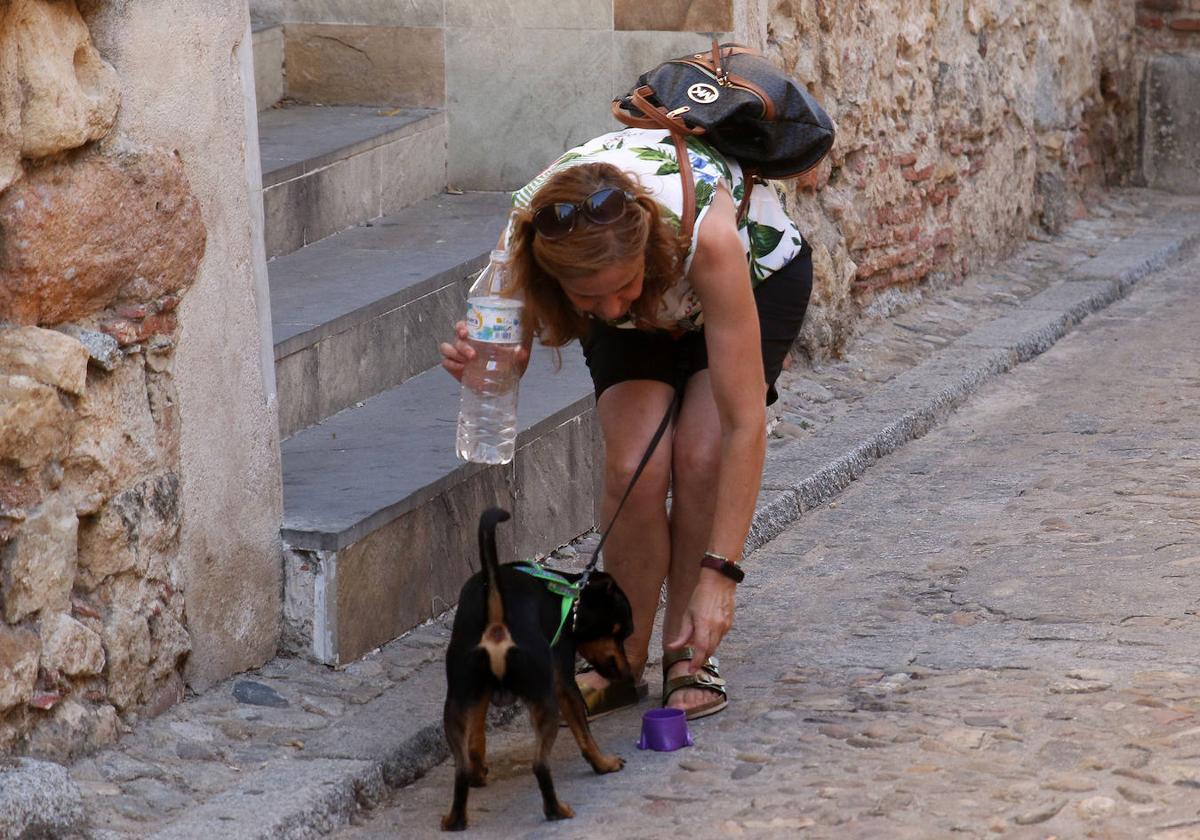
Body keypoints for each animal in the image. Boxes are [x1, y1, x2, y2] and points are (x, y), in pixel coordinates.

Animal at [444, 508, 638, 830]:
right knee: (540, 764)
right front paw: (604, 764)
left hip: (457, 701)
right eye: (621, 632)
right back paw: (556, 809)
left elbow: (477, 737)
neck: (570, 596)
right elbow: (585, 735)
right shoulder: (563, 683)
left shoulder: (478, 695)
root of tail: (497, 623)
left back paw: (455, 819)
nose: (627, 673)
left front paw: (478, 770)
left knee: (459, 770)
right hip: (545, 701)